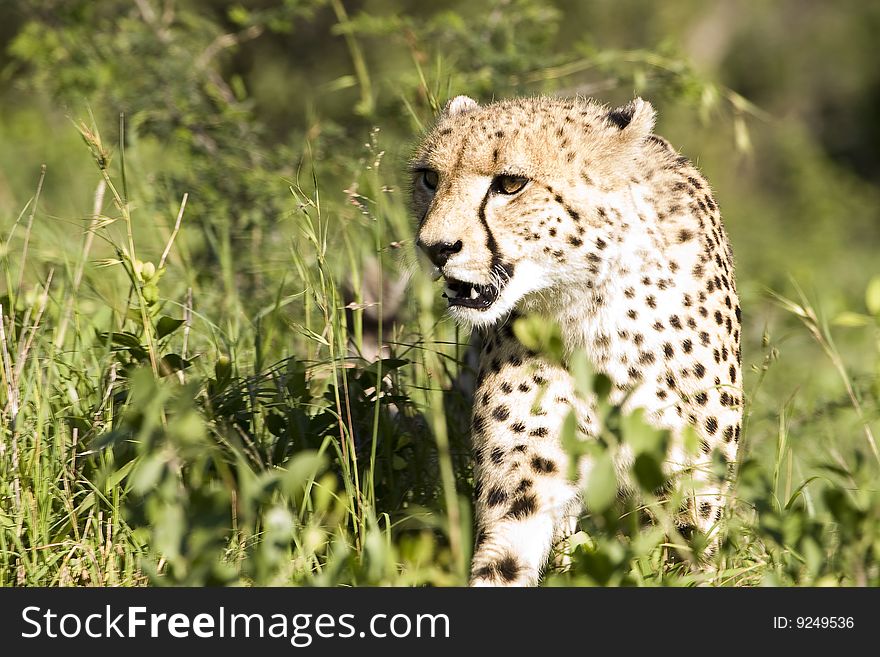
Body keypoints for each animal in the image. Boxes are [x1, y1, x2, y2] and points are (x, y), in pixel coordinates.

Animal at [412, 95, 744, 588]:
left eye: (510, 183)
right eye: (430, 178)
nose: (435, 248)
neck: (588, 307)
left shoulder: (690, 485)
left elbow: (690, 556)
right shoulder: (526, 477)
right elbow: (504, 561)